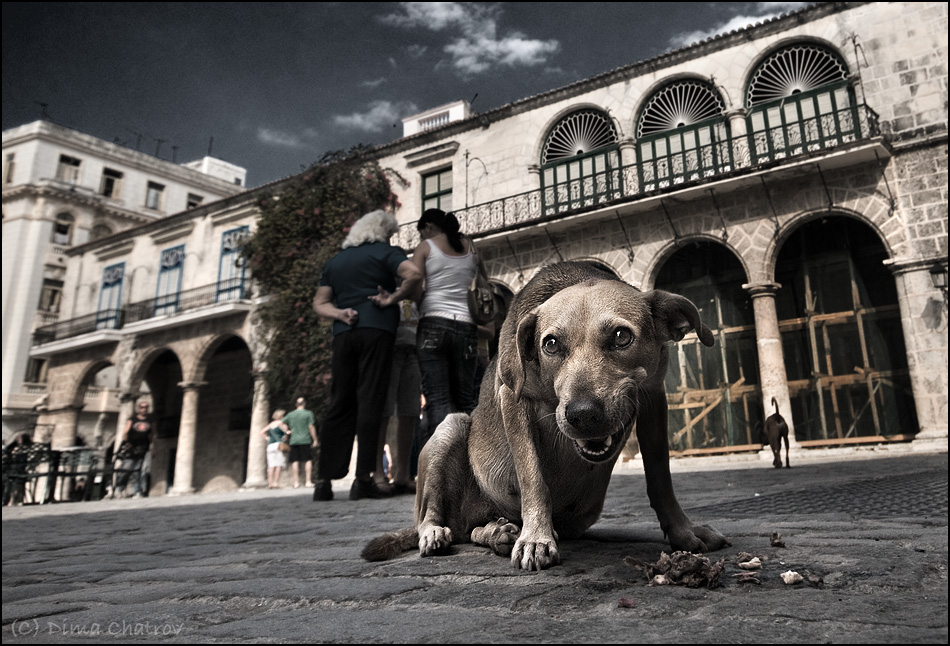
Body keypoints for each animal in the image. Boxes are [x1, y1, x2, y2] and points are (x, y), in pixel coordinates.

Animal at [362, 262, 728, 572]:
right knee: (432, 516)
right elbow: (532, 477)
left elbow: (661, 478)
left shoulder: (653, 397)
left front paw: (682, 532)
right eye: (550, 344)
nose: (582, 414)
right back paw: (440, 533)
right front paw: (536, 538)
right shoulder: (513, 399)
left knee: (472, 531)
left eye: (621, 336)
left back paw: (497, 532)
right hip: (452, 427)